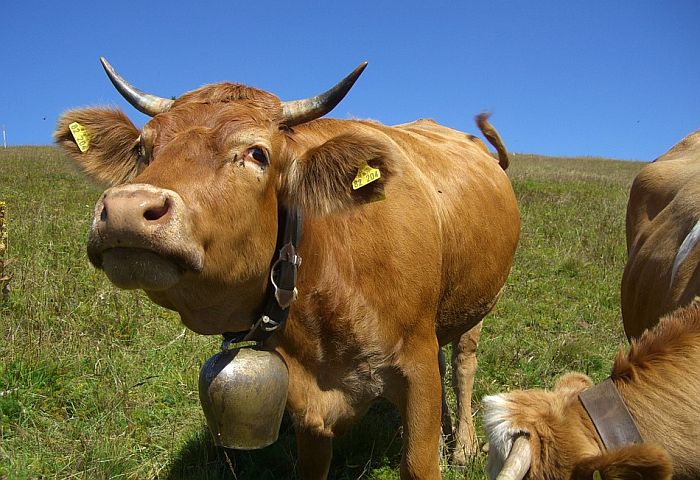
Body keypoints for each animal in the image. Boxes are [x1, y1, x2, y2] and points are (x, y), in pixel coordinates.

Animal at [54, 58, 520, 478]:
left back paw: (462, 445)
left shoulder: (416, 366)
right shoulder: (305, 400)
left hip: (477, 305)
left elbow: (420, 460)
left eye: (257, 153)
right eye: (142, 148)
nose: (127, 210)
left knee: (461, 364)